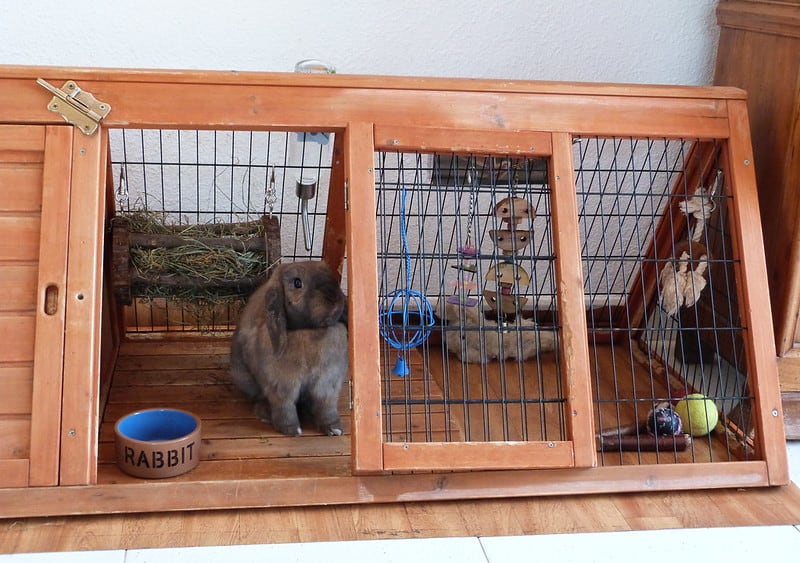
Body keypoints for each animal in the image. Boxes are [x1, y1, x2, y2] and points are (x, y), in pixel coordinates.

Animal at [228, 262, 346, 438]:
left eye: (330, 273)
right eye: (297, 283)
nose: (335, 299)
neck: (308, 331)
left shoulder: (327, 383)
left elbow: (326, 407)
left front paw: (334, 429)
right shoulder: (282, 384)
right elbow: (285, 406)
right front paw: (291, 430)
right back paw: (265, 414)